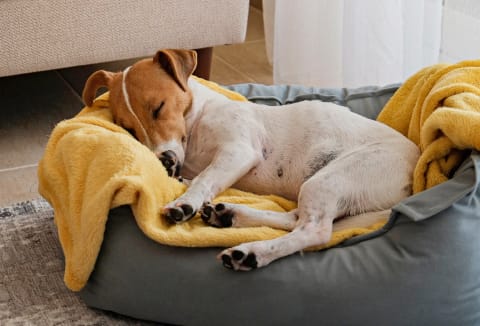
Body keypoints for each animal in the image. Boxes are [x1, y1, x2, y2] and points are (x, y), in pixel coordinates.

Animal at [82, 49, 420, 270]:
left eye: (158, 108)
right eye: (127, 128)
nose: (163, 160)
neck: (197, 120)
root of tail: (413, 180)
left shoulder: (238, 151)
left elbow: (205, 179)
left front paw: (184, 203)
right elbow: (197, 178)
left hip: (331, 178)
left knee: (314, 231)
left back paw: (251, 252)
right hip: (319, 185)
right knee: (295, 218)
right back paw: (229, 214)